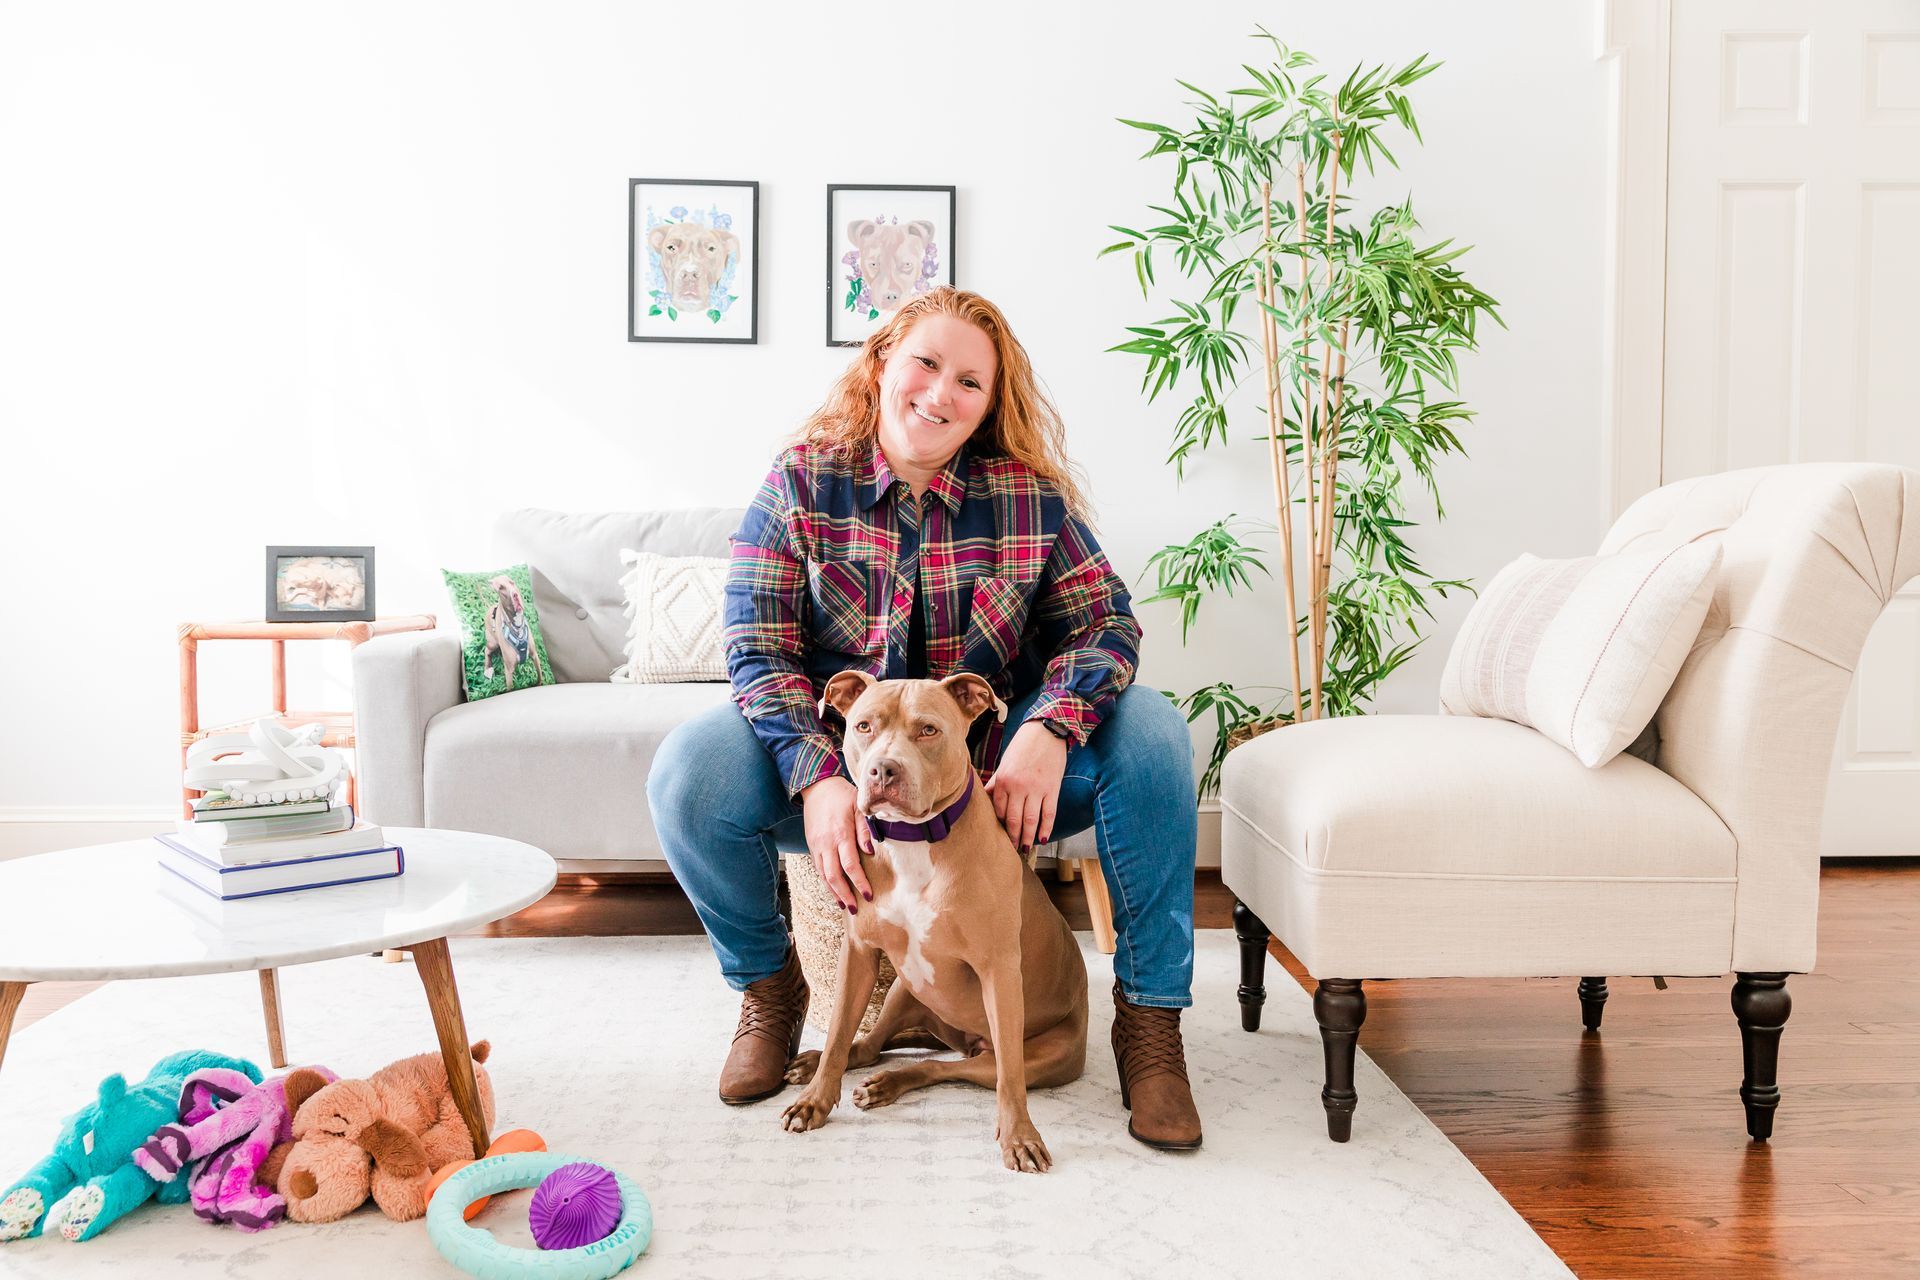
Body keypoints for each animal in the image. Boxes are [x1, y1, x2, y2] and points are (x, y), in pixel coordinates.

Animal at [775, 671, 1082, 1174]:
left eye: (928, 730)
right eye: (863, 726)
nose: (883, 770)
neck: (913, 840)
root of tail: (962, 1038)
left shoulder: (999, 971)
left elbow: (1010, 1078)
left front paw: (1019, 1136)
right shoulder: (858, 953)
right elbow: (840, 1032)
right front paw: (814, 1100)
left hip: (1029, 1053)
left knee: (945, 1067)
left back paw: (891, 1082)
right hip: (904, 988)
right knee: (870, 1045)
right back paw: (819, 1063)